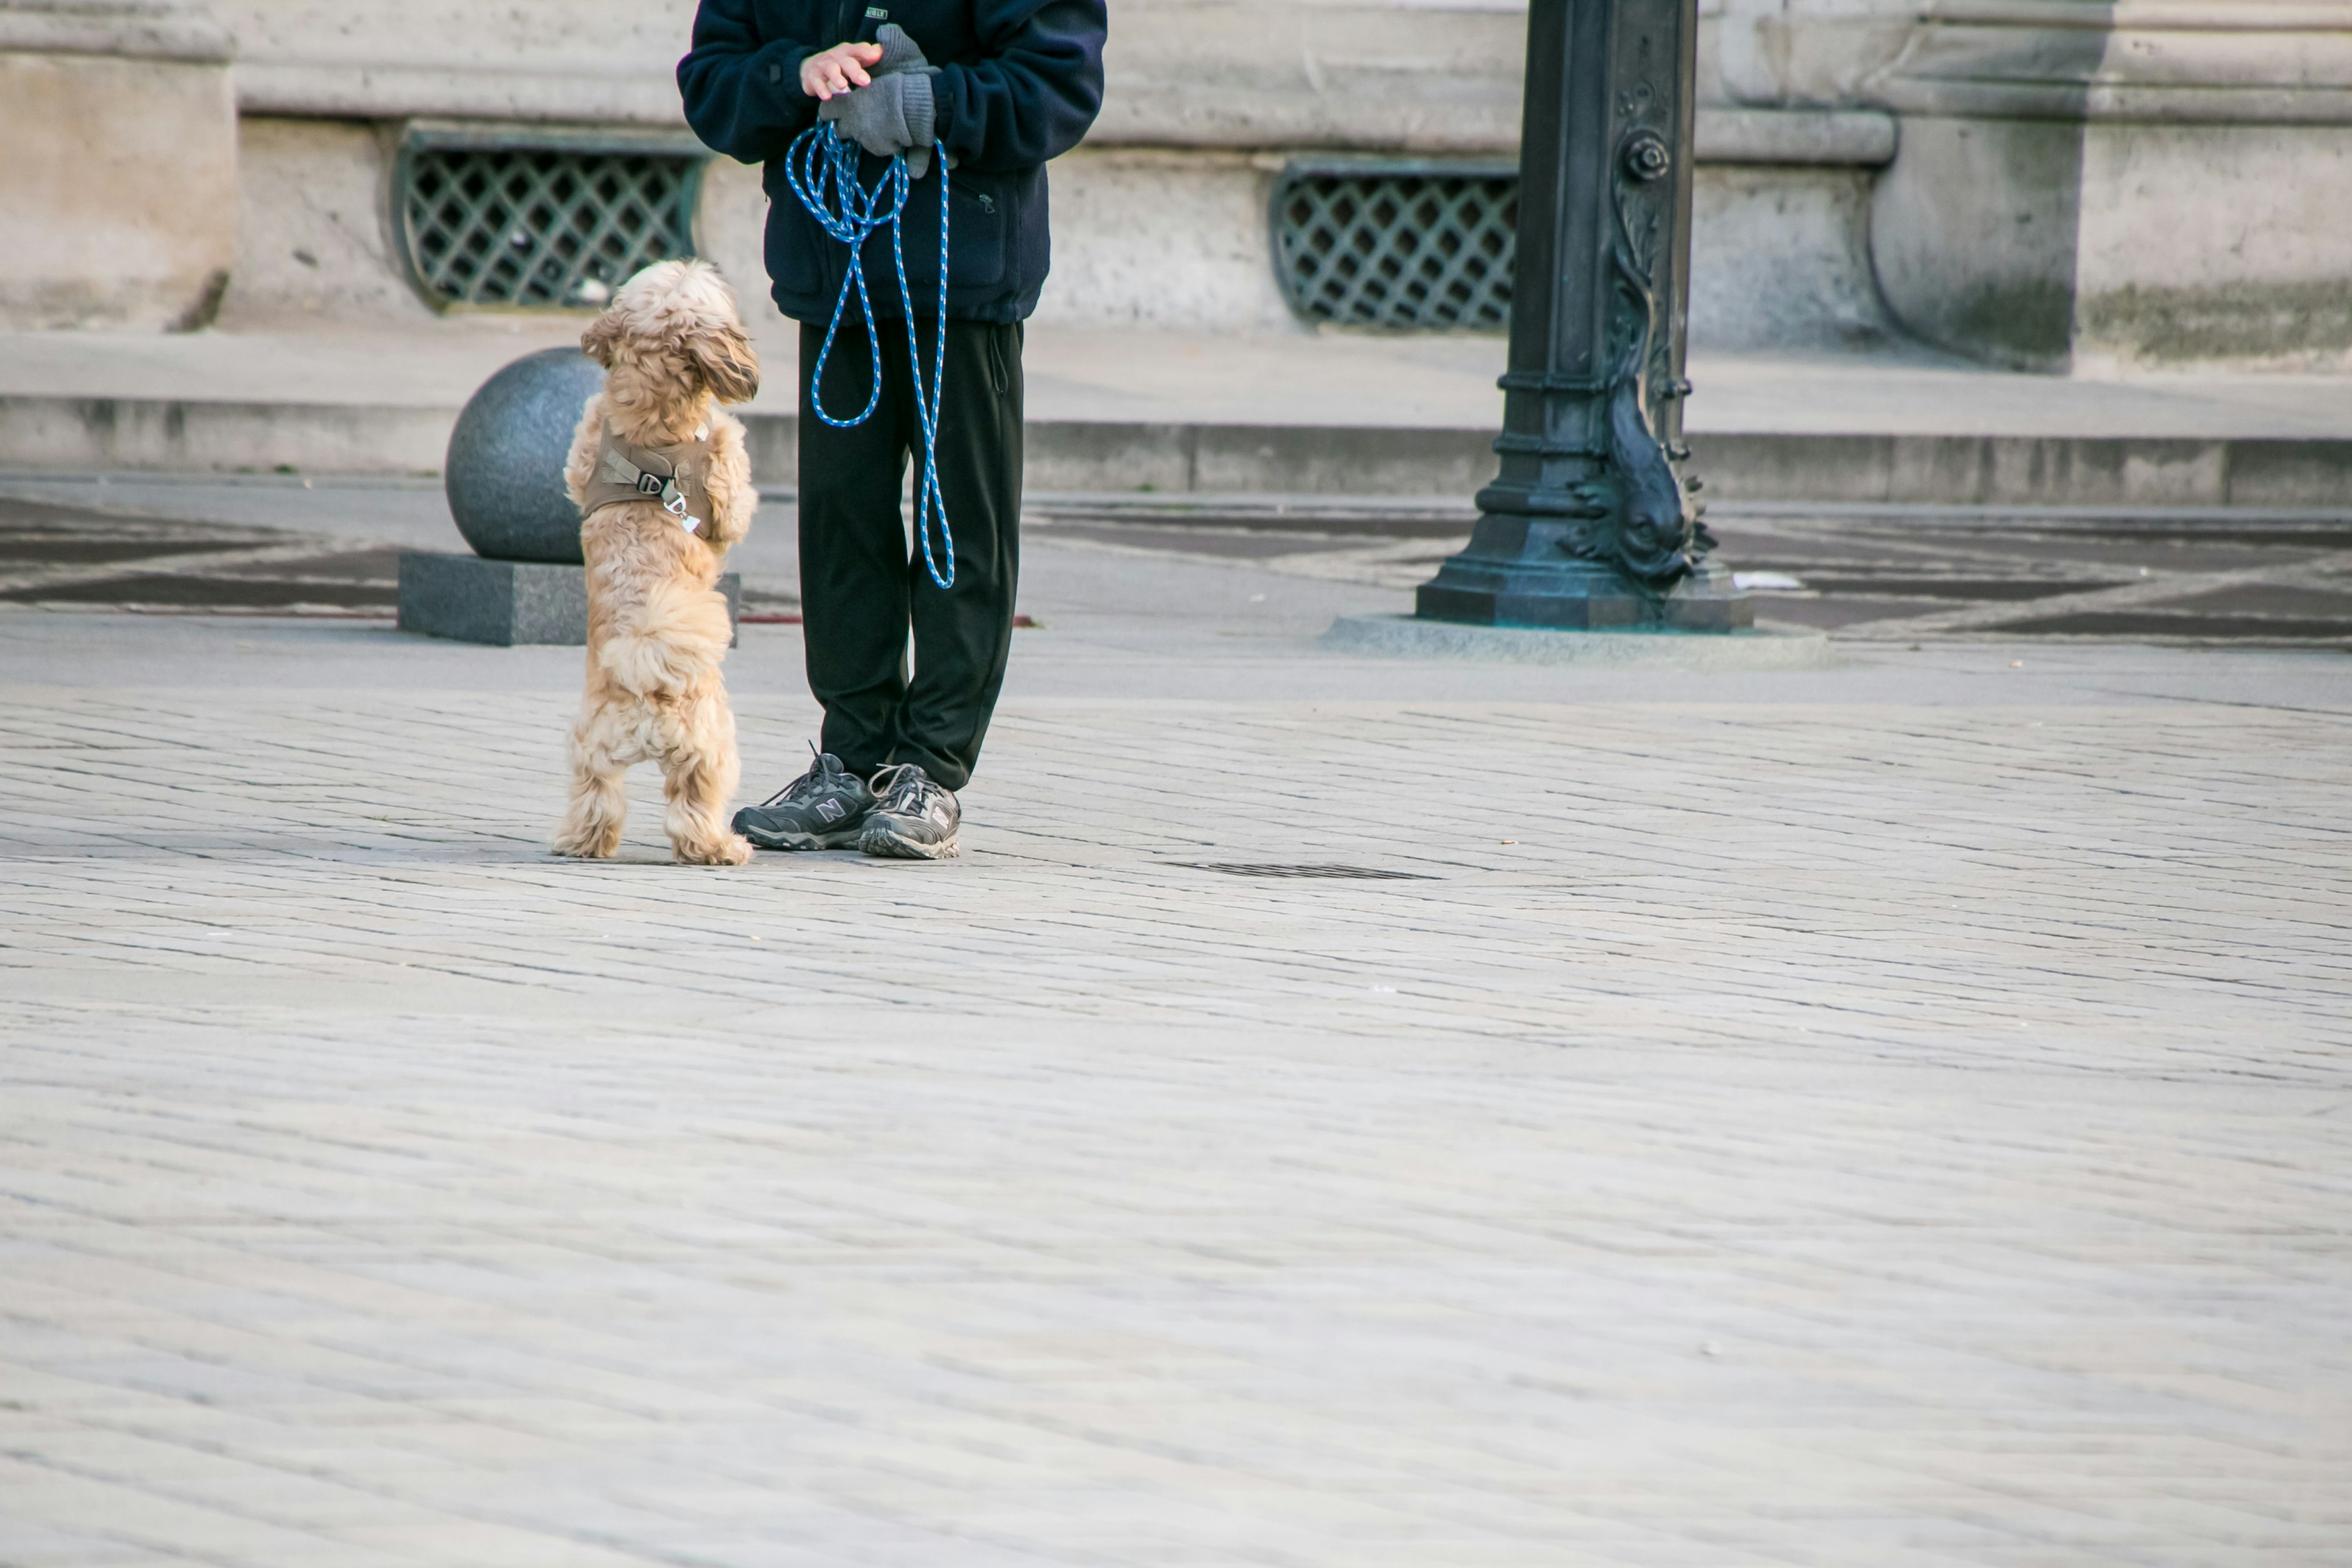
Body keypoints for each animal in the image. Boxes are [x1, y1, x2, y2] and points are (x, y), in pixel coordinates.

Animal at [550, 261, 762, 870]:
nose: (701, 262)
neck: (652, 421)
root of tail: (645, 684)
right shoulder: (726, 469)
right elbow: (735, 503)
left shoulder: (585, 445)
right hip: (713, 747)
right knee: (692, 807)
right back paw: (719, 847)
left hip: (590, 746)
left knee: (597, 799)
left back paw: (581, 843)